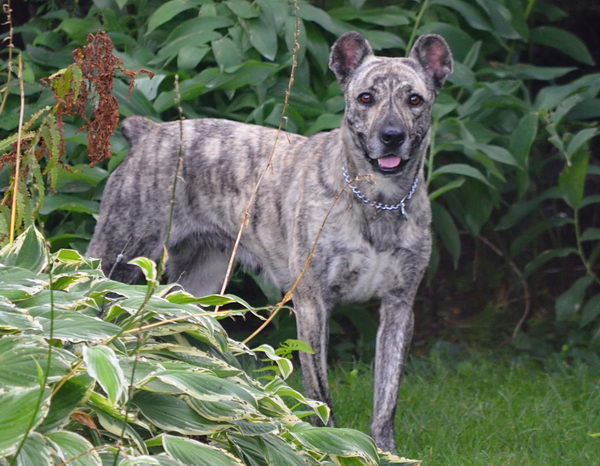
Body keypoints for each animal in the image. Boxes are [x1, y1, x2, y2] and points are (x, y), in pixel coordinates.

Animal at [89, 30, 452, 452]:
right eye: (366, 98)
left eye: (415, 99)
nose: (391, 137)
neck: (378, 200)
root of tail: (149, 132)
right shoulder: (312, 303)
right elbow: (320, 394)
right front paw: (329, 445)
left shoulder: (399, 307)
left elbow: (387, 397)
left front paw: (384, 452)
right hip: (116, 259)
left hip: (199, 283)